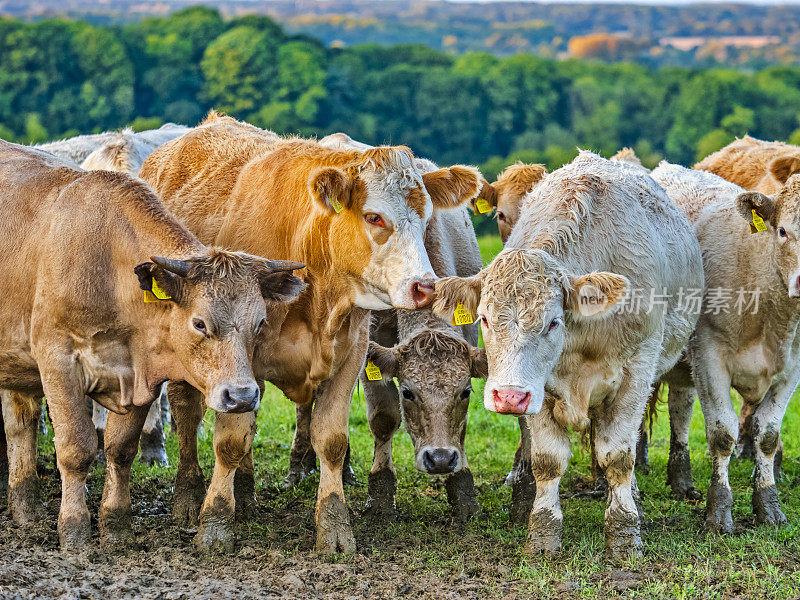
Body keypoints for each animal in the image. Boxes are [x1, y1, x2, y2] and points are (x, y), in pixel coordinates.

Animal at [0, 139, 306, 548]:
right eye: (199, 323)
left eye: (260, 322)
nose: (241, 396)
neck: (109, 270)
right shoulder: (57, 362)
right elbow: (77, 449)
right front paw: (75, 531)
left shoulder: (137, 376)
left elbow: (120, 449)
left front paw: (116, 525)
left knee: (20, 426)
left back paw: (26, 511)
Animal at [138, 112, 482, 552]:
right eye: (373, 216)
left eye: (425, 219)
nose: (424, 286)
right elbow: (229, 442)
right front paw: (215, 524)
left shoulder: (352, 353)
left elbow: (331, 440)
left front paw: (334, 526)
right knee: (187, 412)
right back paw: (188, 494)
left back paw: (248, 491)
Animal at [432, 154, 700, 556]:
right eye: (485, 319)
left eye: (553, 322)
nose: (508, 397)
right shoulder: (538, 389)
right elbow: (547, 460)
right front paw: (543, 534)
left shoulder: (636, 373)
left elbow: (618, 456)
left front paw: (625, 533)